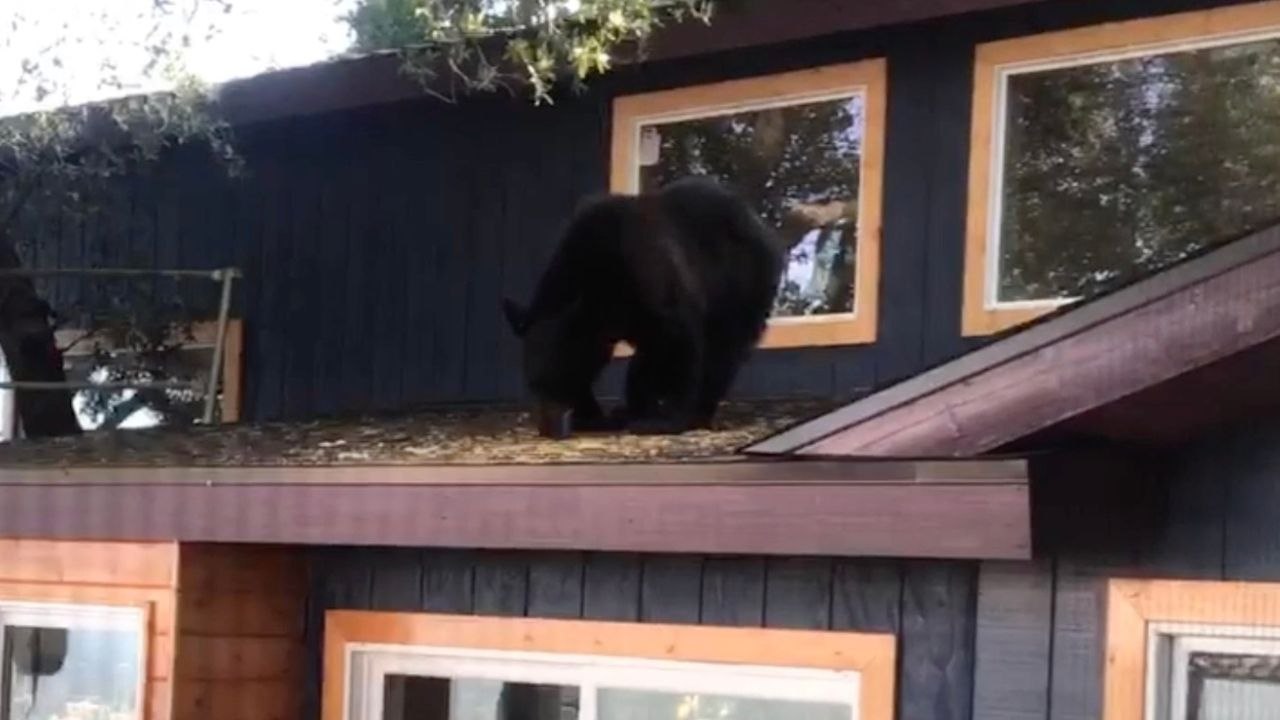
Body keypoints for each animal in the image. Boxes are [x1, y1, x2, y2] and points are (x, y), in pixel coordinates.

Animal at [502, 175, 785, 437]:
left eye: (557, 379)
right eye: (534, 384)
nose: (548, 428)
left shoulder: (650, 271)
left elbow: (680, 338)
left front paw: (665, 418)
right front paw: (599, 415)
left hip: (743, 283)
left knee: (724, 349)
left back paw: (700, 411)